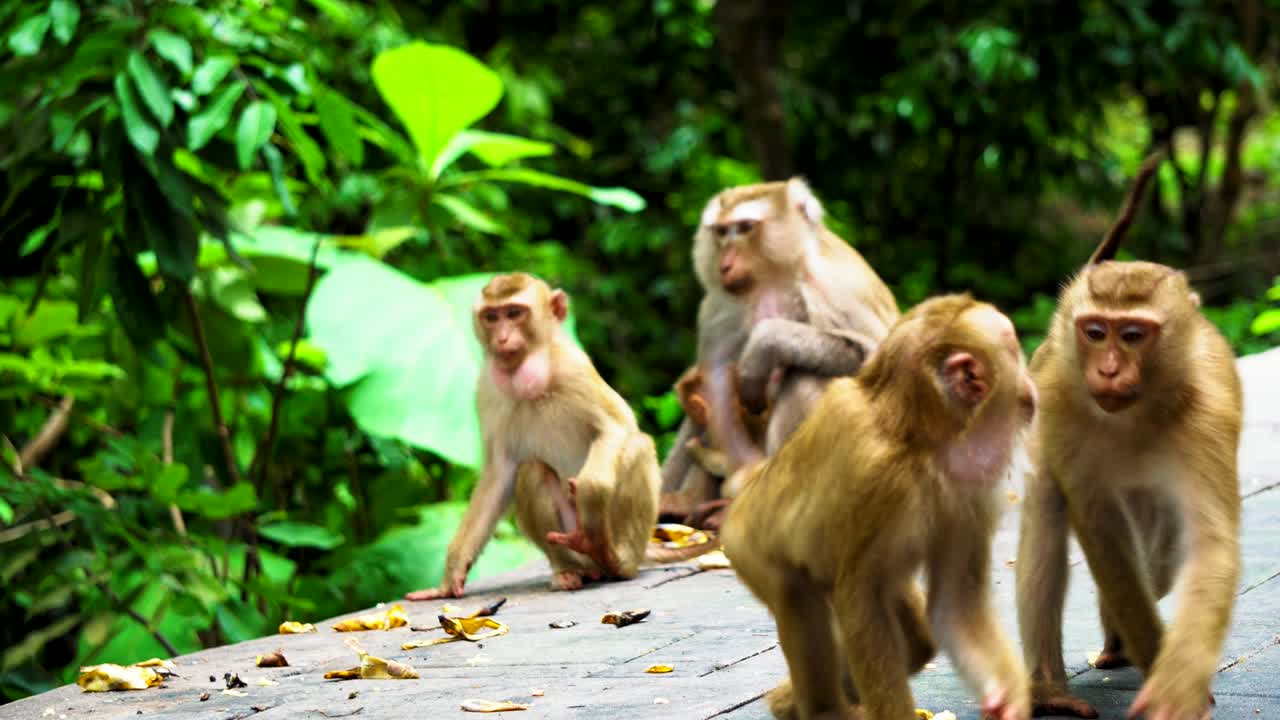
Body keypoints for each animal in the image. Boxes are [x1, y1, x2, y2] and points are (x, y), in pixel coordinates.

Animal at [405, 273, 712, 601]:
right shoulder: (487, 389)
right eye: (491, 317)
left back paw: (615, 559)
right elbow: (500, 472)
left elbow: (616, 427)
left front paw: (590, 490)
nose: (501, 338)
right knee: (531, 471)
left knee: (637, 446)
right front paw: (452, 572)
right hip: (568, 536)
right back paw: (569, 570)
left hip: (619, 534)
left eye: (514, 313)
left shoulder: (574, 366)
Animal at [723, 294, 1037, 720]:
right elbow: (861, 600)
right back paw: (822, 709)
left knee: (916, 637)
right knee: (798, 597)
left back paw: (791, 700)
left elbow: (954, 605)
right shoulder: (879, 478)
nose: (1030, 378)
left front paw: (1007, 699)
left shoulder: (968, 491)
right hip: (749, 551)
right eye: (1015, 349)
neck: (919, 439)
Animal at [1016, 148, 1243, 719]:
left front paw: (1177, 684)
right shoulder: (1059, 403)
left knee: (1162, 559)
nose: (1110, 369)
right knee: (1049, 511)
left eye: (1134, 335)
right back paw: (1051, 689)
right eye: (1096, 332)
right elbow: (1100, 532)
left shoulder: (1207, 417)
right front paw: (1161, 667)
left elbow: (1209, 545)